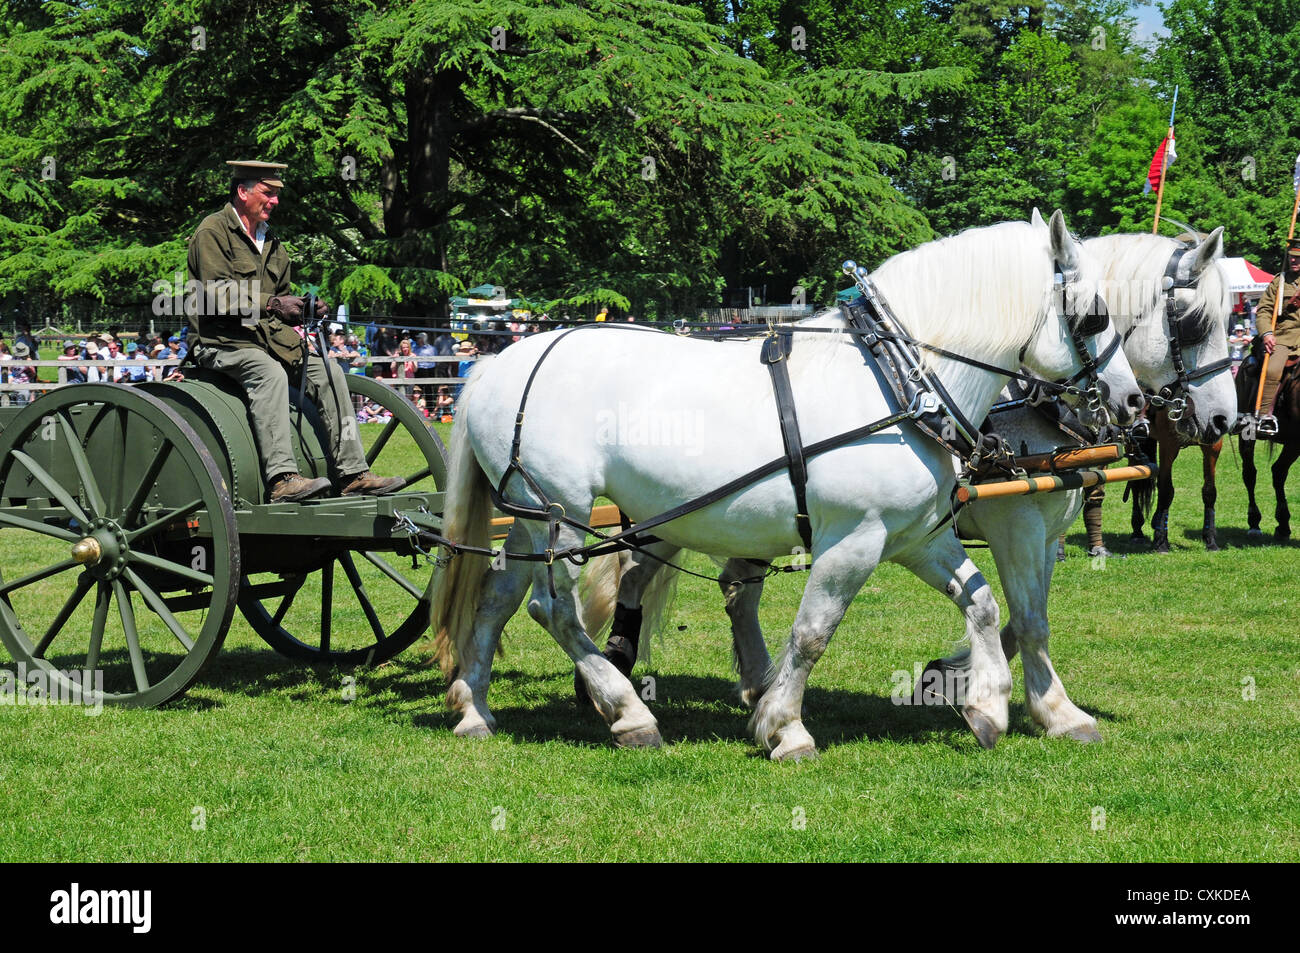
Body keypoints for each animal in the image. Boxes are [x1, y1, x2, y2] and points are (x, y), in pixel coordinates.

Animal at [430, 209, 1143, 759]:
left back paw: (475, 709)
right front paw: (784, 727)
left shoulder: (915, 537)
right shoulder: (855, 539)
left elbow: (986, 605)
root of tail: (497, 362)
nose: (1132, 402)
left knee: (497, 597)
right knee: (551, 609)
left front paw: (988, 706)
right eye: (1094, 315)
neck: (897, 378)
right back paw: (628, 712)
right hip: (558, 511)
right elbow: (813, 632)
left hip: (531, 518)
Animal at [580, 224, 1235, 745]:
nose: (1226, 420)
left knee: (731, 589)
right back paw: (620, 669)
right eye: (1192, 322)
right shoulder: (1016, 525)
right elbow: (1028, 619)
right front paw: (1044, 706)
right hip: (683, 512)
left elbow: (1021, 615)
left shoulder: (1041, 532)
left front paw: (963, 678)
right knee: (637, 574)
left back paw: (748, 684)